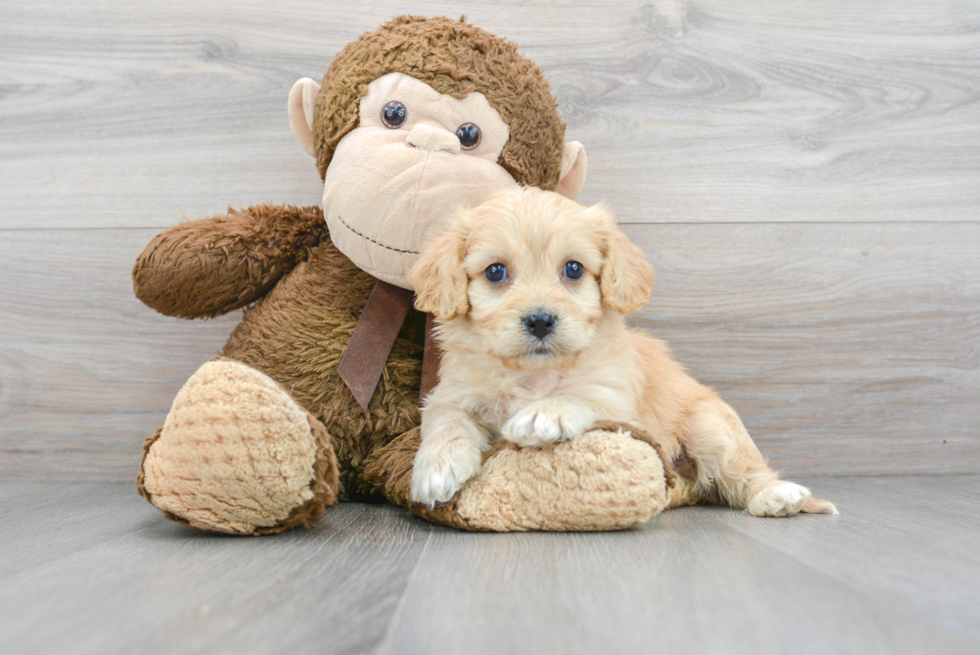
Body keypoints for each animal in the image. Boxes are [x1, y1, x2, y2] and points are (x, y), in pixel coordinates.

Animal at [406, 187, 836, 520]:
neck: (533, 373)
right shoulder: (452, 395)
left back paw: (776, 495)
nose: (541, 320)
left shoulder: (614, 397)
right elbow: (448, 423)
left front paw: (543, 414)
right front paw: (436, 469)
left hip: (710, 427)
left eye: (574, 269)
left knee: (744, 473)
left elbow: (579, 396)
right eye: (495, 272)